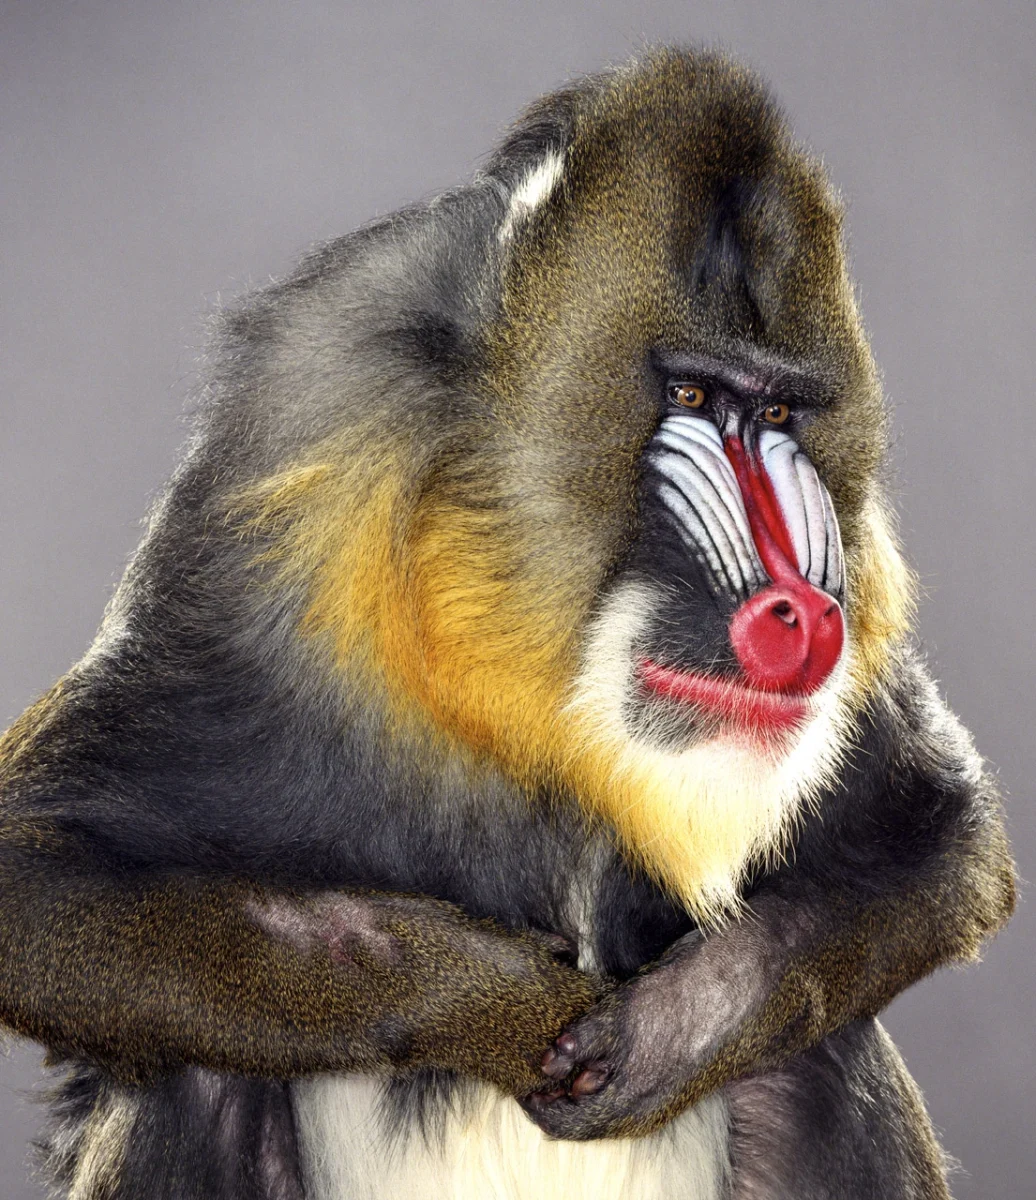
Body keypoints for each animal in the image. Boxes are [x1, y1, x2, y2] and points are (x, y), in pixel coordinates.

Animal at [0, 47, 1014, 1200]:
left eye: (777, 415)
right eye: (691, 395)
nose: (805, 612)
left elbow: (938, 834)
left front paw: (672, 1030)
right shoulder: (270, 531)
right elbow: (38, 879)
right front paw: (499, 1001)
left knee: (820, 1049)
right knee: (199, 1070)